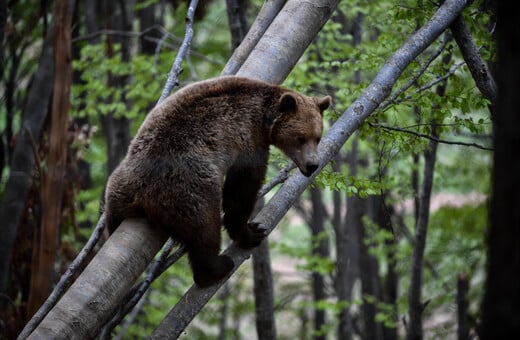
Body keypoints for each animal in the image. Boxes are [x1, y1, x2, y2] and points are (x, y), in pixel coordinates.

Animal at [104, 76, 332, 286]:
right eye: (300, 138)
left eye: (318, 137)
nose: (312, 165)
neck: (264, 119)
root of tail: (140, 193)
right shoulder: (248, 139)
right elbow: (242, 188)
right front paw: (251, 231)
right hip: (187, 186)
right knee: (205, 226)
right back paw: (216, 267)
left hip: (117, 190)